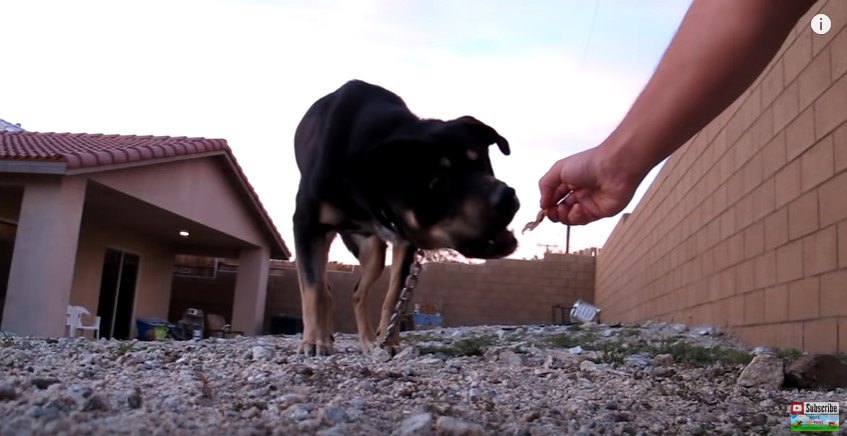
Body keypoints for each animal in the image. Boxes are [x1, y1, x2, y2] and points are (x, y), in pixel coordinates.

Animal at [292, 80, 520, 356]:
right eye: (436, 184)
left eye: (481, 162)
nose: (506, 196)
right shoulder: (305, 225)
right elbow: (312, 291)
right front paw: (313, 341)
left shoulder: (404, 239)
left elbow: (393, 297)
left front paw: (389, 342)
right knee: (324, 289)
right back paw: (325, 336)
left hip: (373, 251)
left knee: (357, 293)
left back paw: (367, 341)